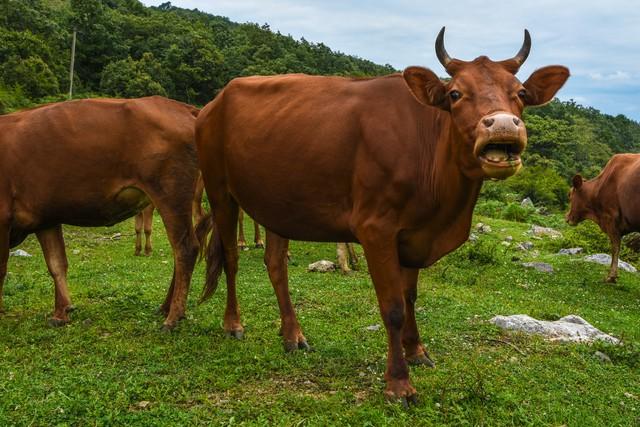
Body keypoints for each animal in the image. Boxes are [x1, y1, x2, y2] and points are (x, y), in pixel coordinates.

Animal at [0, 98, 205, 332]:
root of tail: (180, 106)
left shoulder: (3, 218)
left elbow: (2, 269)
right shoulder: (46, 218)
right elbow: (57, 264)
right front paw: (61, 312)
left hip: (171, 194)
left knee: (185, 248)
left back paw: (172, 317)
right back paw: (166, 307)